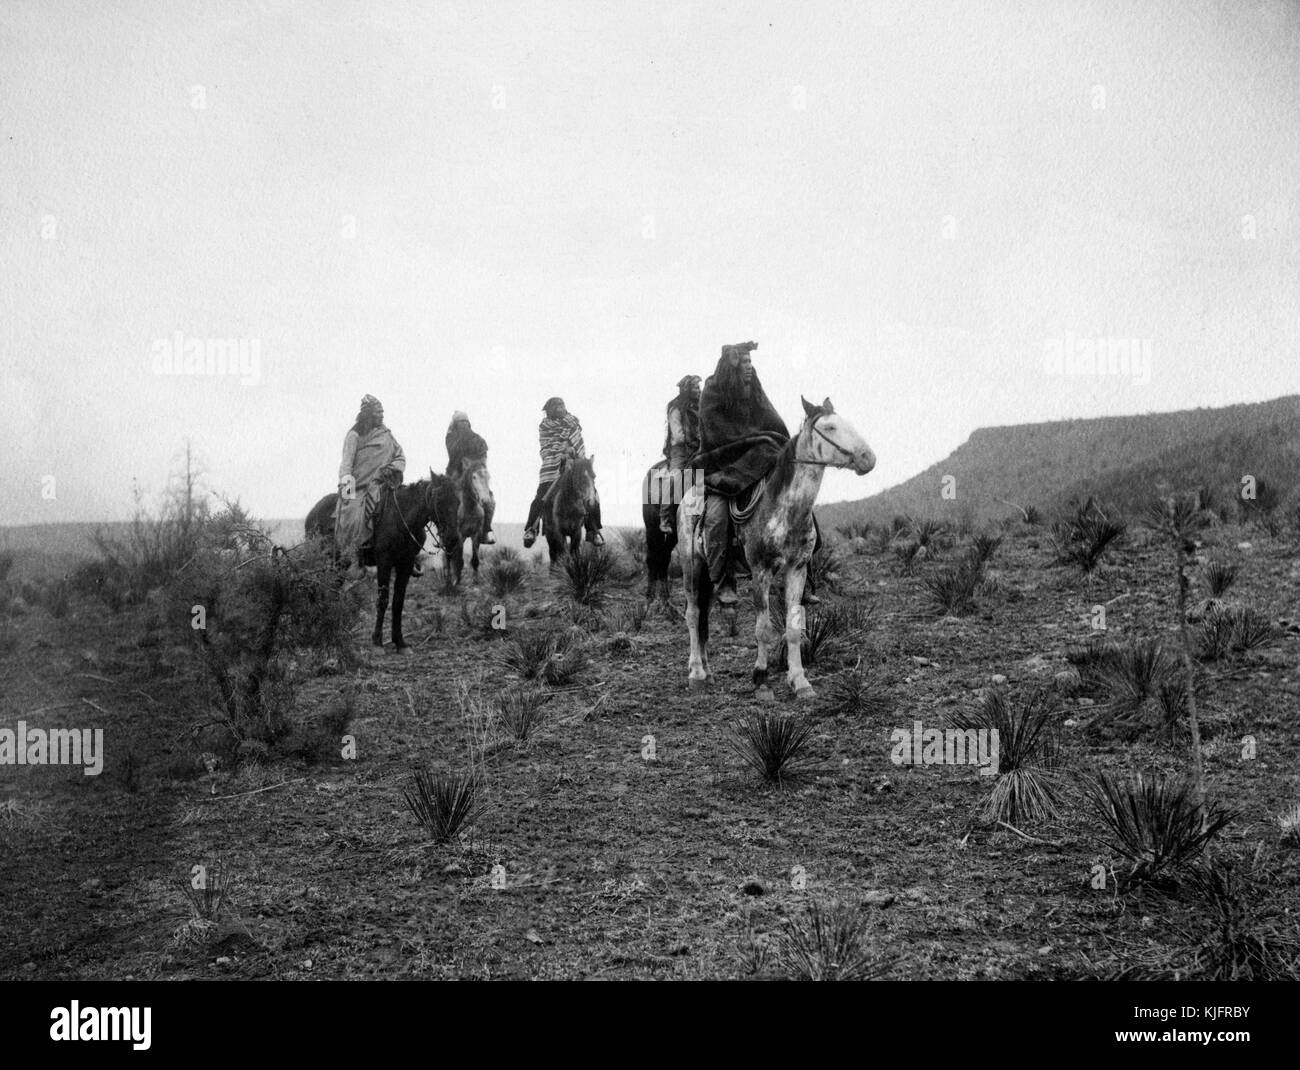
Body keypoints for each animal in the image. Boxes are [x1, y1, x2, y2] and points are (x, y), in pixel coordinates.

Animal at [306, 475, 449, 652]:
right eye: (440, 499)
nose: (452, 536)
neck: (401, 518)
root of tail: (312, 512)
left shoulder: (406, 564)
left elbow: (398, 602)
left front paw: (399, 642)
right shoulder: (384, 562)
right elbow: (382, 600)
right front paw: (377, 641)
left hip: (338, 565)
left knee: (331, 589)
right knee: (314, 585)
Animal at [681, 400, 873, 702]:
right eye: (830, 427)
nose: (868, 458)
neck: (784, 509)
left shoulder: (797, 569)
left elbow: (793, 627)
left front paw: (800, 681)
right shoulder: (761, 571)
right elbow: (763, 629)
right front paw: (761, 679)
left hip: (709, 577)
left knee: (703, 618)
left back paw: (708, 672)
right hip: (691, 565)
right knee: (692, 614)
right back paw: (696, 674)